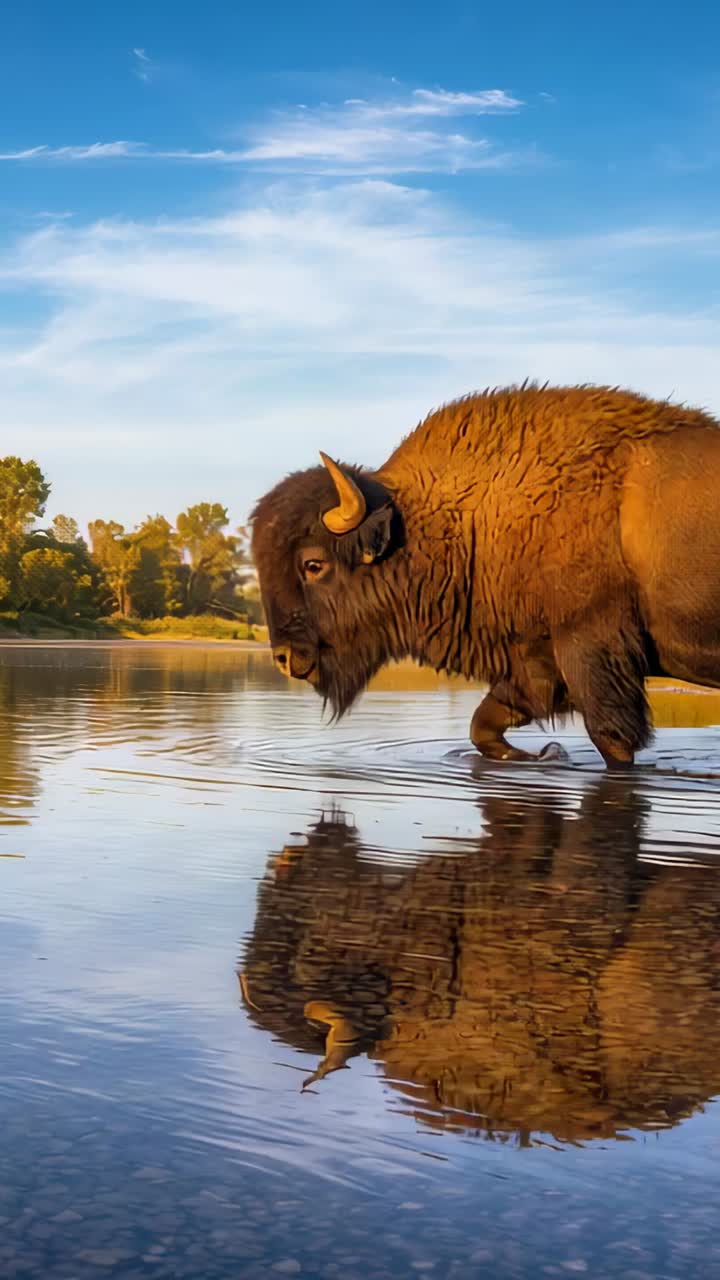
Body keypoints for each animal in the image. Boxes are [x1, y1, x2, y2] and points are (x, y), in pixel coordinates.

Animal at [251, 383, 720, 766]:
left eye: (313, 565)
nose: (284, 658)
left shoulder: (590, 650)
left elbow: (612, 741)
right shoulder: (533, 662)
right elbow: (484, 724)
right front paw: (541, 755)